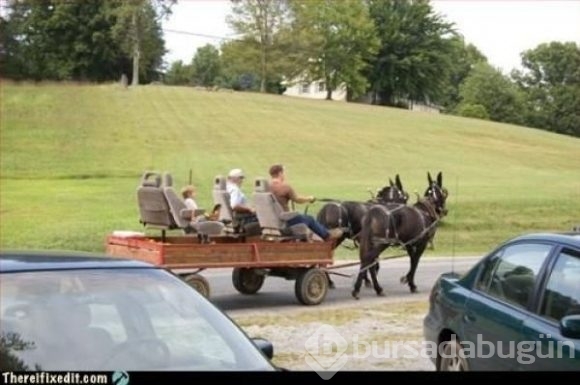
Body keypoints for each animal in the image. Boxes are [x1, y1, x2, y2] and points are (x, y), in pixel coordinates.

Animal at [348, 172, 448, 300]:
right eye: (444, 193)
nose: (445, 211)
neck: (425, 210)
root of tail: (372, 213)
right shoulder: (422, 243)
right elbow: (415, 262)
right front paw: (411, 283)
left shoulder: (410, 244)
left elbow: (412, 260)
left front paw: (407, 279)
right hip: (381, 243)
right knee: (368, 259)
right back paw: (366, 289)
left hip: (370, 242)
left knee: (368, 261)